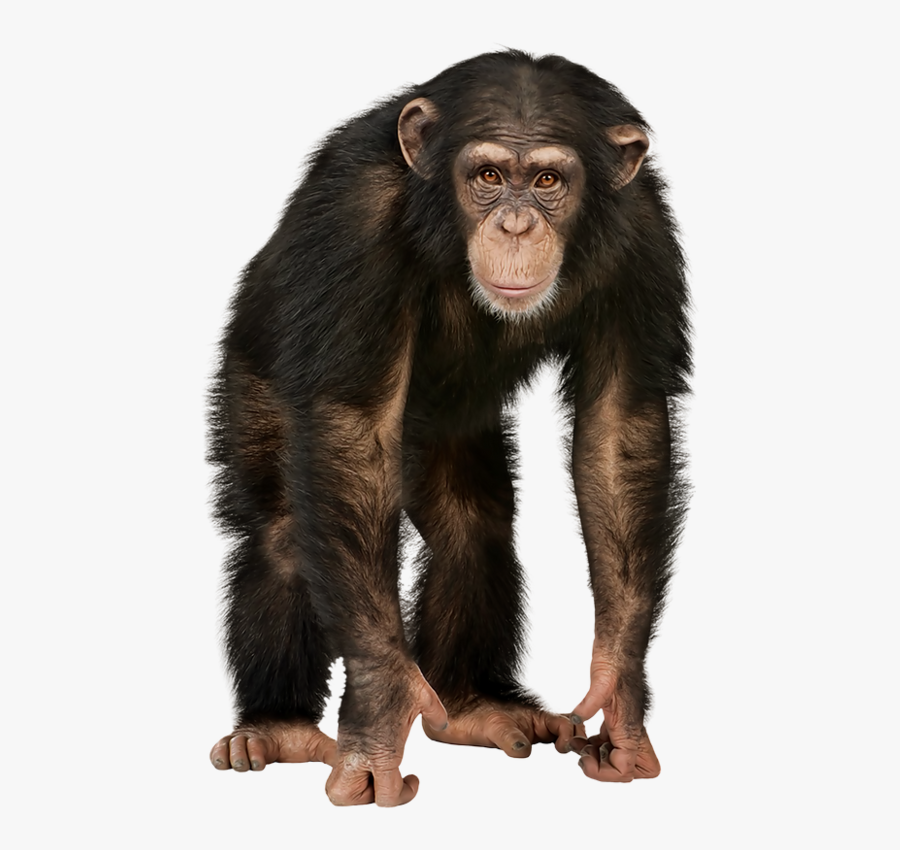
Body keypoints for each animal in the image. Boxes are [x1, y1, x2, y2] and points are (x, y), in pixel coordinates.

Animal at [208, 49, 691, 806]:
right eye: (487, 177)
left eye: (548, 180)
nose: (516, 225)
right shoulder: (354, 216)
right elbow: (351, 425)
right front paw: (380, 709)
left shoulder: (644, 235)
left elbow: (621, 426)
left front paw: (621, 695)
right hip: (252, 368)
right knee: (282, 529)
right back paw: (277, 727)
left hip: (446, 432)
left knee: (473, 522)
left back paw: (467, 706)